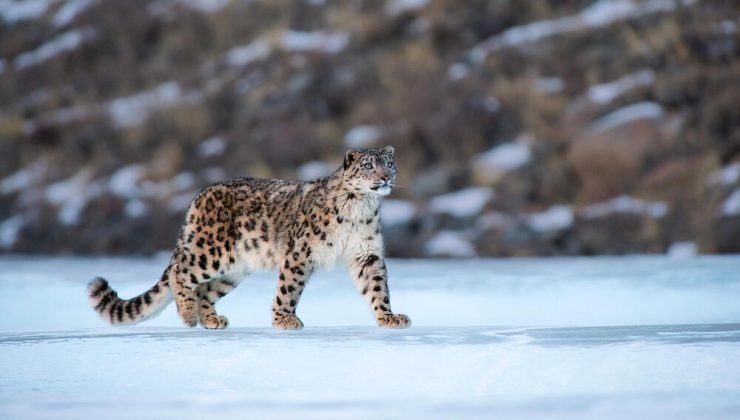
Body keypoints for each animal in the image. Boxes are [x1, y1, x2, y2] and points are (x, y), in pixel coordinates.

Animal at [88, 146, 410, 330]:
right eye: (368, 165)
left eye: (389, 163)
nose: (385, 177)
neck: (361, 208)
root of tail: (199, 196)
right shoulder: (300, 253)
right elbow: (289, 288)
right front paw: (284, 320)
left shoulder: (366, 253)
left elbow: (377, 288)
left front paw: (388, 317)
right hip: (210, 253)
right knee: (180, 271)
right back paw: (189, 316)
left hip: (234, 270)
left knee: (206, 291)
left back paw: (212, 320)